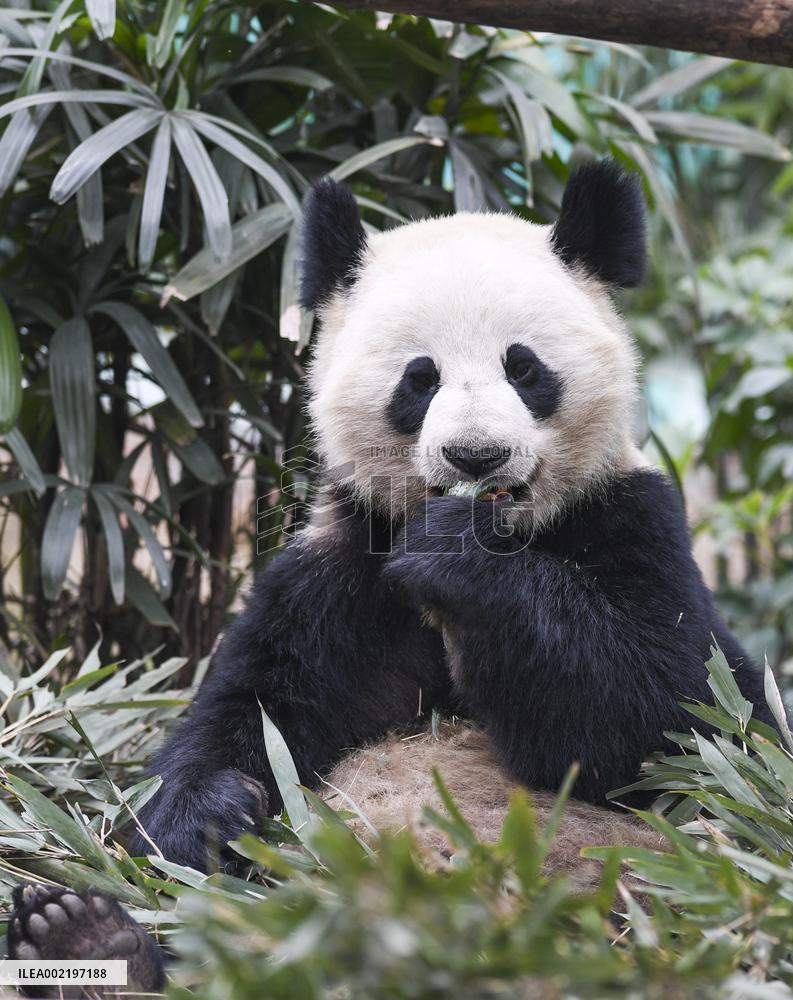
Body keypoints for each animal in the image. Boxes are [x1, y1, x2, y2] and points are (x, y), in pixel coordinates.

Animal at [6, 161, 774, 989]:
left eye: (524, 367)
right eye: (419, 378)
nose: (476, 456)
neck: (509, 529)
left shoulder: (632, 521)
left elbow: (667, 722)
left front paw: (457, 560)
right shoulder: (339, 566)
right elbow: (249, 711)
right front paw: (212, 810)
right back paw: (87, 939)